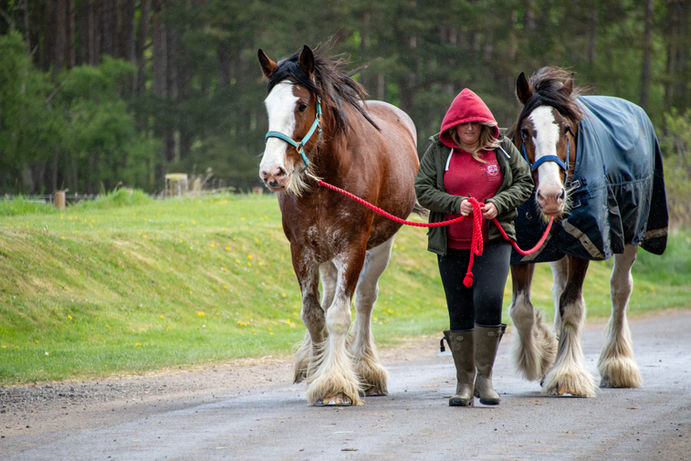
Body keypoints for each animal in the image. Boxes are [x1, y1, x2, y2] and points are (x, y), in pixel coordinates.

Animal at [257, 45, 419, 406]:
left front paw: (336, 384)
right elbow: (314, 315)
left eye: (301, 105)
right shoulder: (301, 249)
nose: (272, 172)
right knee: (331, 295)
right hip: (325, 254)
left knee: (364, 300)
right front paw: (317, 371)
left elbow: (339, 315)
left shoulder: (352, 248)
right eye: (268, 105)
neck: (328, 179)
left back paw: (365, 369)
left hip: (378, 247)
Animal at [508, 67, 668, 397]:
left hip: (631, 236)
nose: (551, 196)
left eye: (567, 129)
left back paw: (618, 365)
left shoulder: (585, 243)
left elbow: (571, 306)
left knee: (620, 290)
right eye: (526, 131)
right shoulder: (525, 246)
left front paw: (567, 374)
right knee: (559, 288)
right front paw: (541, 359)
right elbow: (522, 310)